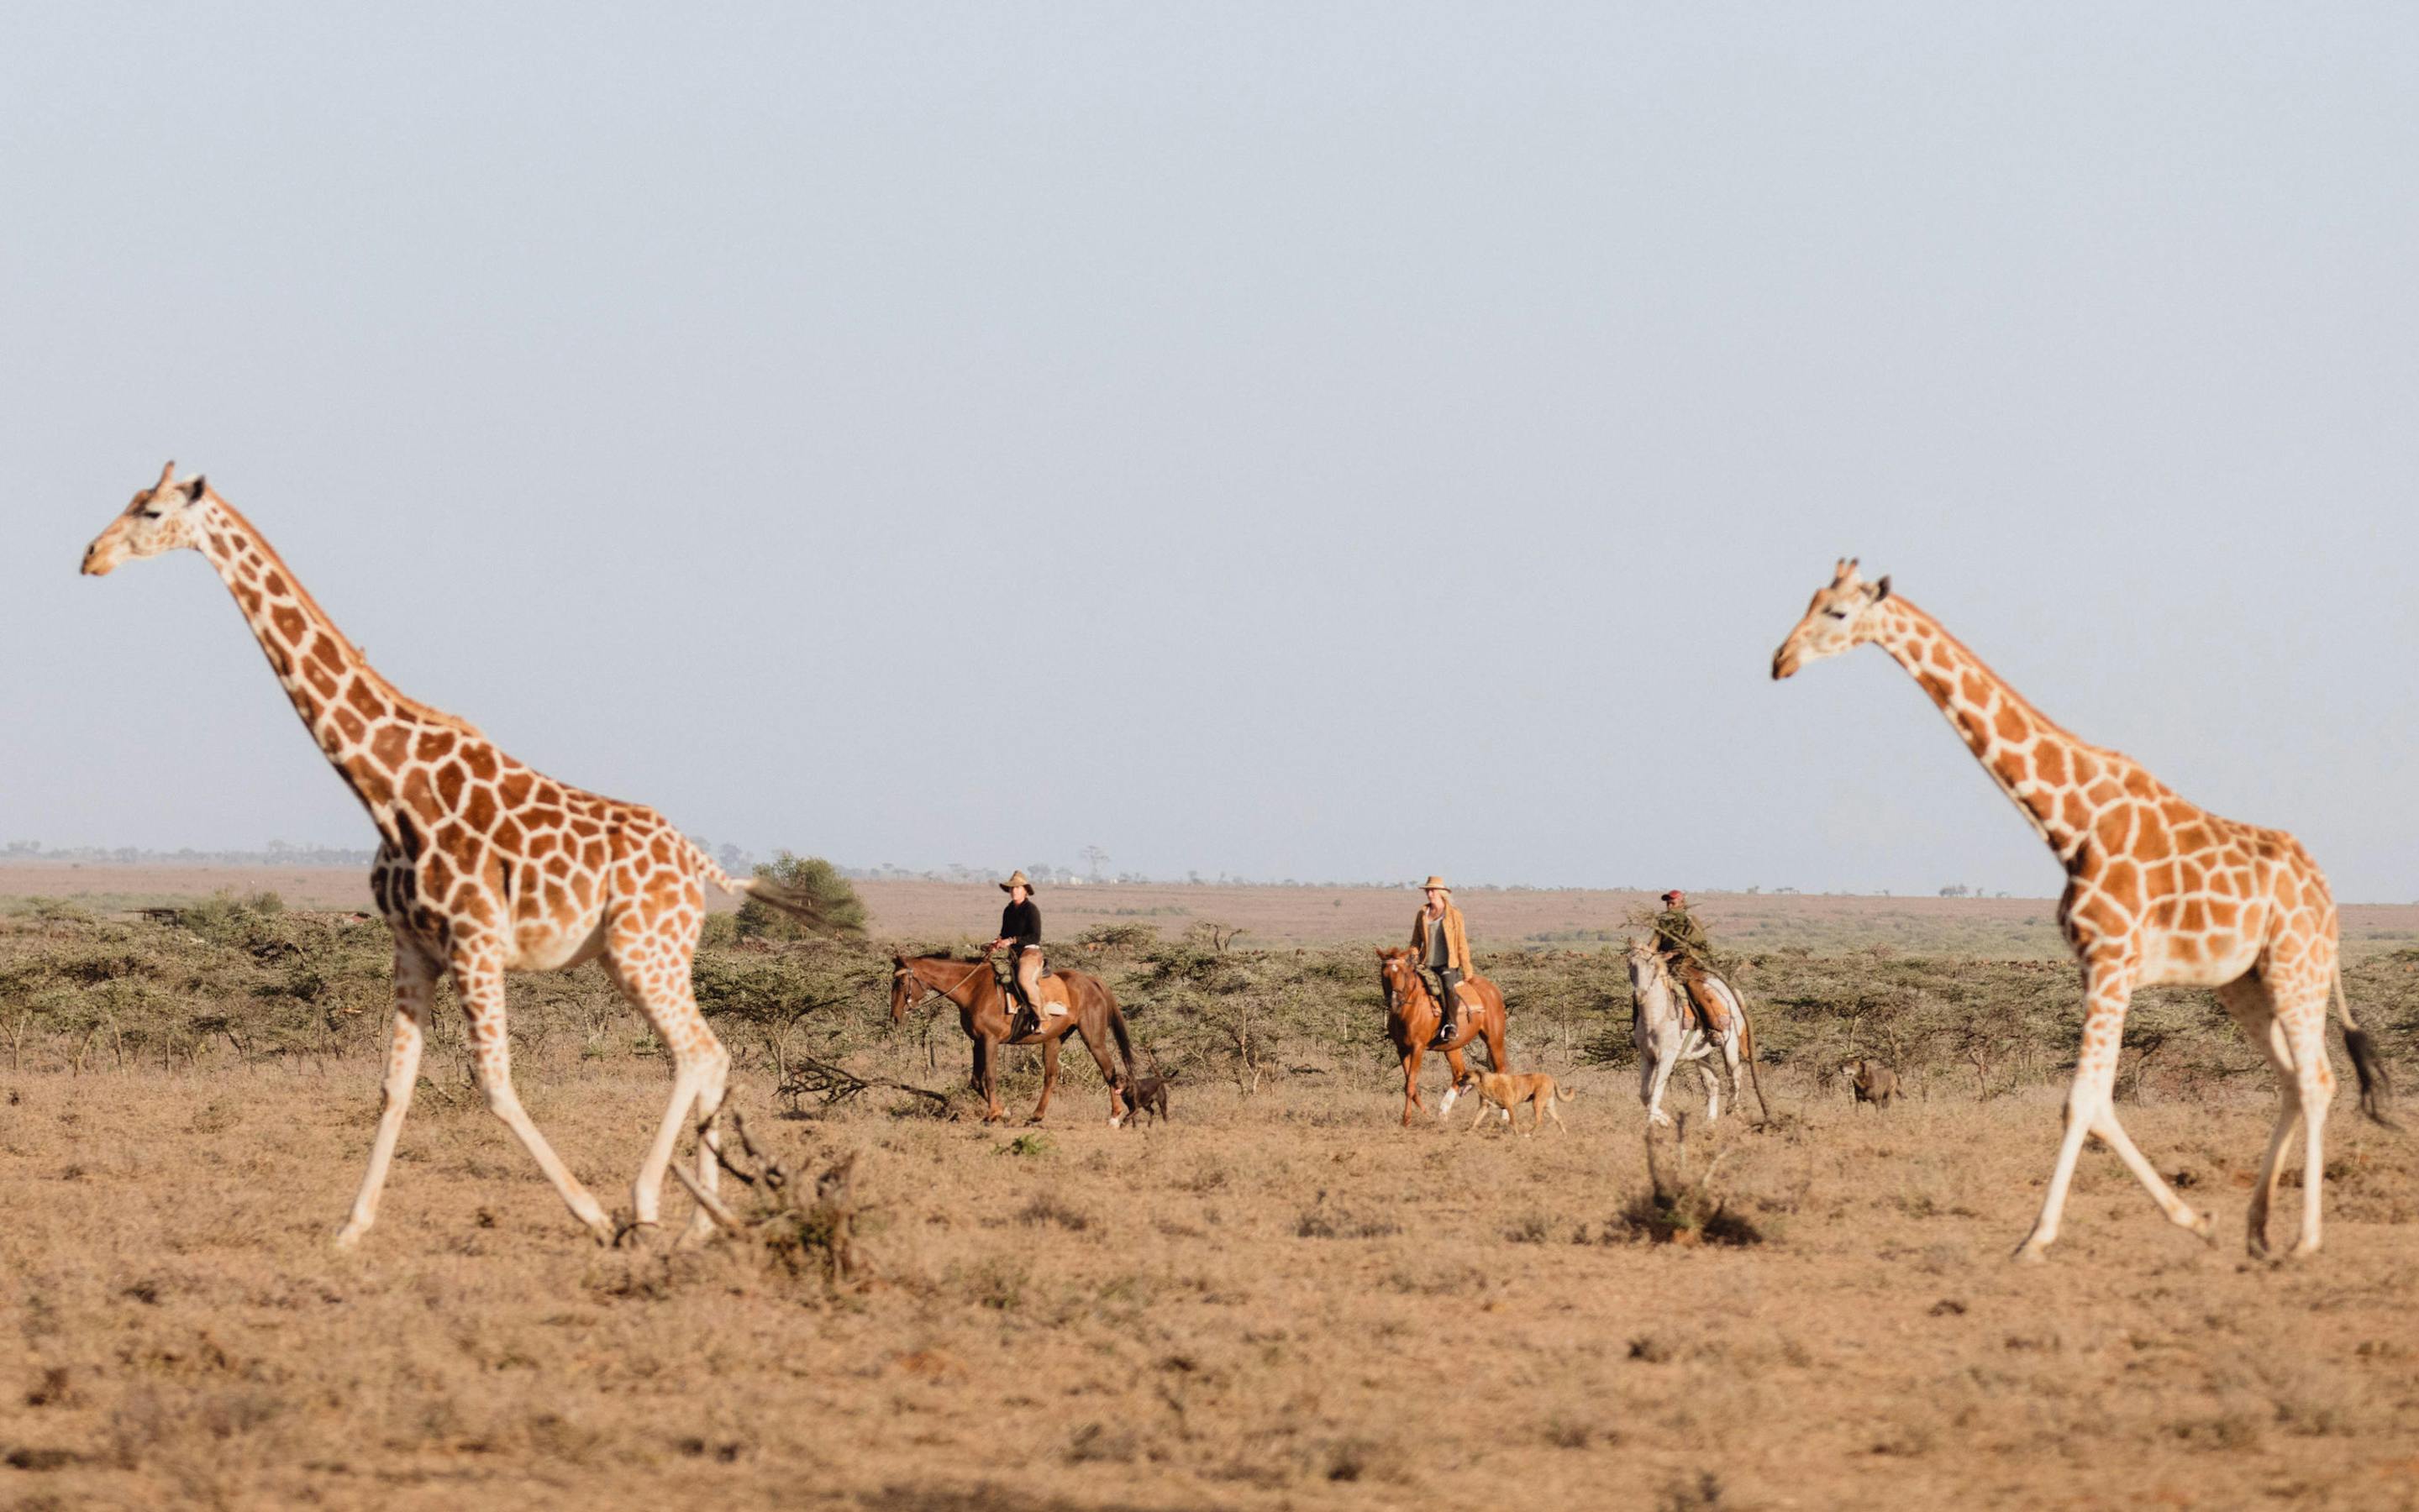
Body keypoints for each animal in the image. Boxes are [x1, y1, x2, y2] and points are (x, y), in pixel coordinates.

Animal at [82, 463, 842, 1248]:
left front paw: (592, 1214)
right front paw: (351, 1229)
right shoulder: (412, 945)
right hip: (633, 954)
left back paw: (648, 1205)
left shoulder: (476, 943)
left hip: (644, 949)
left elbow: (495, 1084)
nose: (91, 557)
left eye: (151, 510)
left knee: (697, 1052)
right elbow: (394, 1085)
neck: (389, 785)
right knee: (706, 1054)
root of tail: (697, 864)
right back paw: (700, 1223)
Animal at [1771, 559, 2393, 1262]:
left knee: (2317, 1079)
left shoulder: (2110, 961)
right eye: (1810, 600)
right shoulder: (2096, 967)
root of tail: (2325, 894)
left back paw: (2304, 1239)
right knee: (2290, 1079)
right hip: (2244, 982)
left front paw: (2035, 1238)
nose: (1779, 661)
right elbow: (2097, 1102)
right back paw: (2256, 1229)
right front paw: (2195, 1219)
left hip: (2296, 965)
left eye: (1838, 613)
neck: (2070, 822)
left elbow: (2081, 1102)